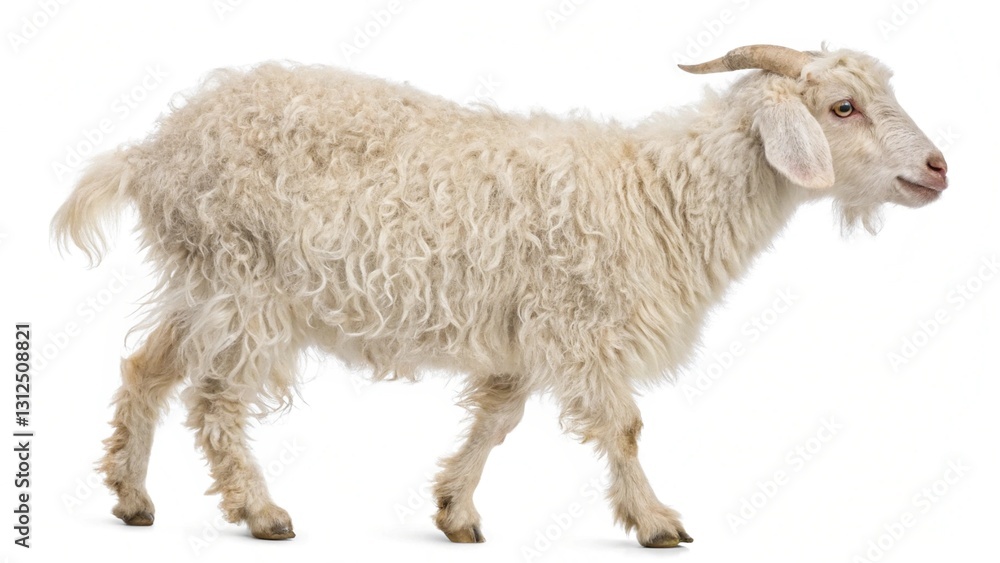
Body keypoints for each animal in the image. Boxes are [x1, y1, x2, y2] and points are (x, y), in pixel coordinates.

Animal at [52, 44, 948, 547]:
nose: (939, 168)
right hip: (246, 280)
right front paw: (657, 521)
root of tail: (153, 152)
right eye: (843, 106)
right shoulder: (581, 322)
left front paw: (455, 510)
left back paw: (132, 497)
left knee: (146, 368)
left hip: (200, 280)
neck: (659, 194)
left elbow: (497, 418)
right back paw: (261, 511)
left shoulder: (524, 331)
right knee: (215, 397)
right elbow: (623, 427)